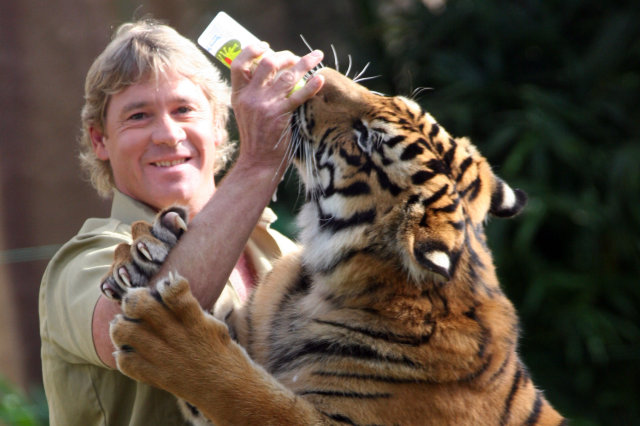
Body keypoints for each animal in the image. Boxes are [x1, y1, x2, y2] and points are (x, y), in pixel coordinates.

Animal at [101, 67, 564, 426]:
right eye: (395, 99)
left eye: (367, 140)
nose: (318, 74)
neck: (323, 282)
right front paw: (145, 248)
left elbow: (254, 397)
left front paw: (167, 333)